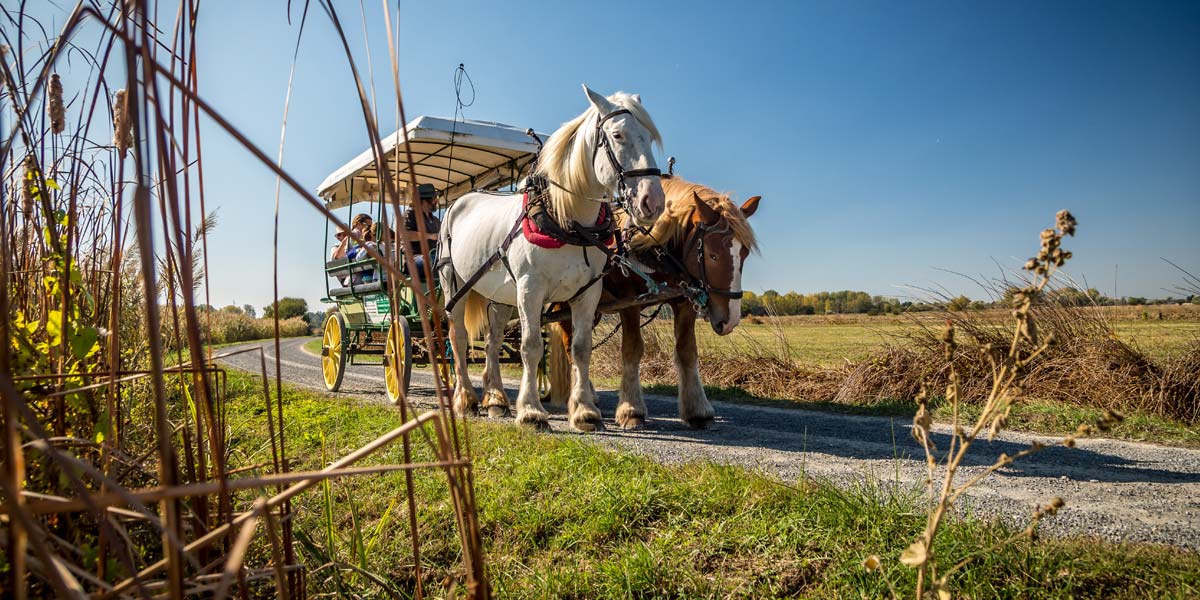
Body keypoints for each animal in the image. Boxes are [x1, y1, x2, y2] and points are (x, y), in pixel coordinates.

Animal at [441, 85, 667, 432]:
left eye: (650, 137)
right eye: (618, 135)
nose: (652, 201)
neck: (568, 221)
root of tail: (458, 201)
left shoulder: (588, 293)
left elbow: (581, 348)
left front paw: (585, 412)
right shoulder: (530, 289)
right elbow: (531, 346)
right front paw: (531, 411)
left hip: (500, 295)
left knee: (492, 341)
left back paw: (495, 400)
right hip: (456, 285)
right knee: (460, 338)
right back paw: (466, 398)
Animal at [547, 175, 758, 429]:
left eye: (744, 253)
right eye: (712, 255)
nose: (730, 320)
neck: (649, 245)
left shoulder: (683, 301)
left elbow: (687, 351)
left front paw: (698, 410)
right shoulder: (628, 302)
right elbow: (632, 350)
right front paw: (632, 410)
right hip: (567, 302)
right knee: (570, 346)